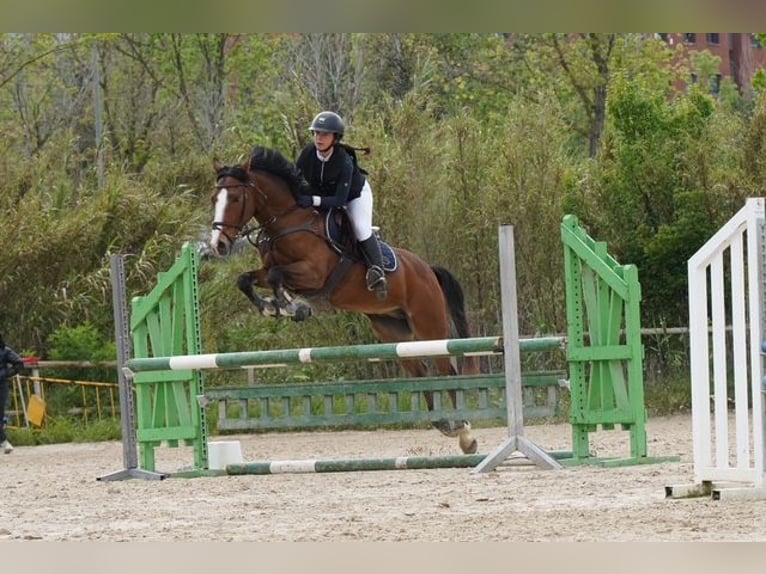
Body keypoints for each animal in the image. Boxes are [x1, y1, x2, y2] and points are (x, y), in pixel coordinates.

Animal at [208, 146, 479, 454]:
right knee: (420, 371)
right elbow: (246, 279)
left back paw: (465, 433)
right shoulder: (267, 271)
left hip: (429, 325)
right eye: (214, 199)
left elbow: (278, 276)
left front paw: (290, 307)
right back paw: (443, 423)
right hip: (392, 330)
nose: (218, 245)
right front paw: (271, 307)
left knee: (447, 369)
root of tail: (428, 270)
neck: (288, 221)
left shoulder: (313, 274)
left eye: (236, 198)